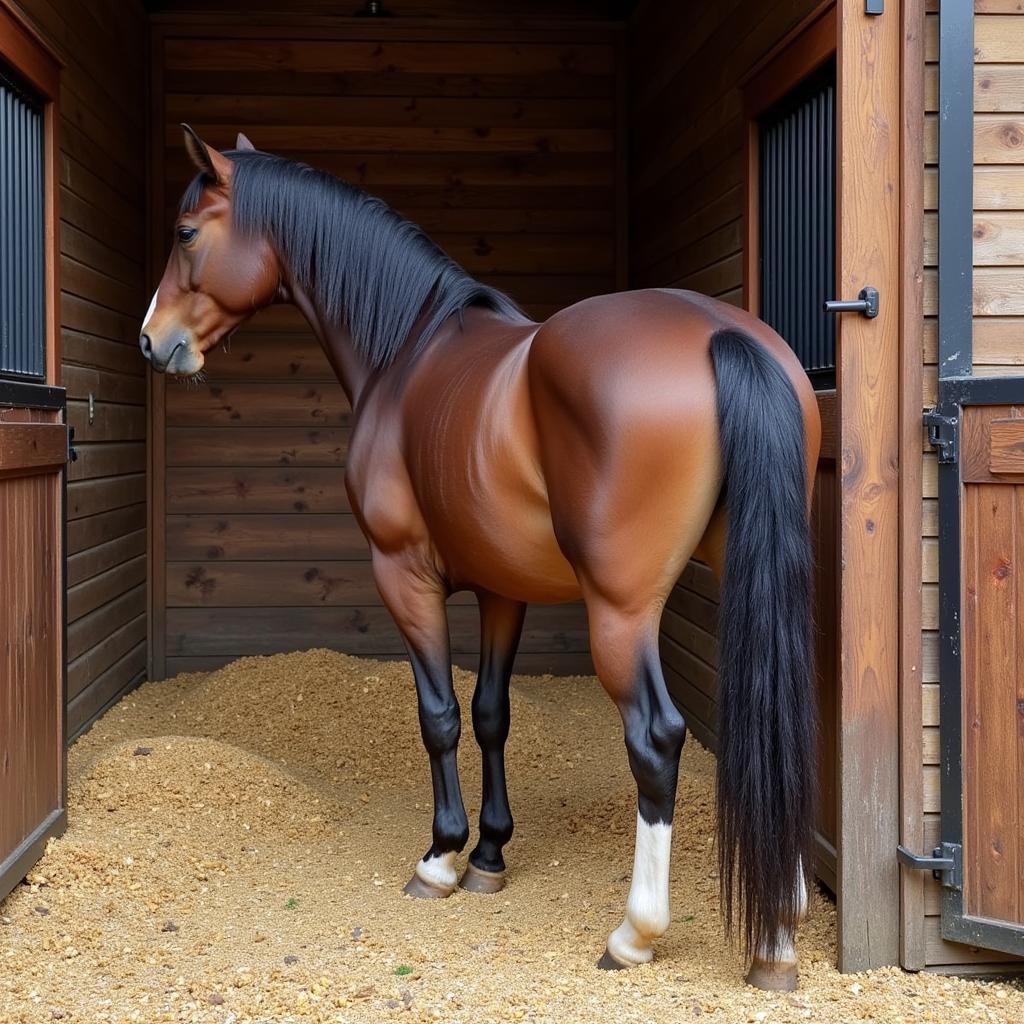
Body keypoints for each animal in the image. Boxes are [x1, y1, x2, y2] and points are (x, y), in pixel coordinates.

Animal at [140, 125, 819, 991]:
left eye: (186, 232)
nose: (152, 340)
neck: (408, 349)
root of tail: (719, 334)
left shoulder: (403, 574)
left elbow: (439, 715)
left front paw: (441, 859)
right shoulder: (504, 587)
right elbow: (493, 713)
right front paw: (491, 853)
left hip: (622, 612)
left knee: (656, 738)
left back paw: (636, 932)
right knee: (785, 725)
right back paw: (778, 936)